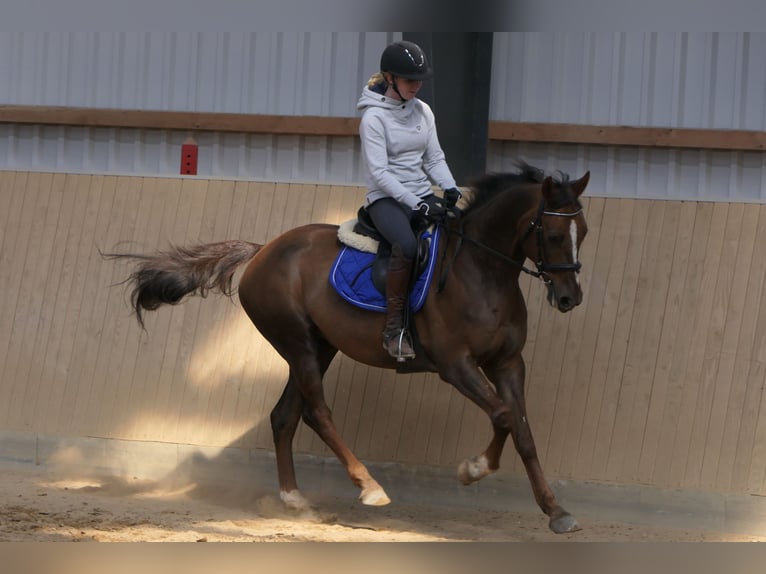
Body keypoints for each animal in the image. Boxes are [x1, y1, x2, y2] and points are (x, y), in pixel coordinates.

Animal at [107, 162, 590, 534]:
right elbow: (504, 416)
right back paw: (369, 487)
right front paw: (472, 470)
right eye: (550, 233)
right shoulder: (457, 366)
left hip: (319, 347)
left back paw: (295, 500)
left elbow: (523, 431)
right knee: (317, 413)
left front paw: (556, 511)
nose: (570, 298)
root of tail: (264, 250)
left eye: (582, 231)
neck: (482, 271)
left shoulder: (509, 363)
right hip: (299, 343)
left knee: (284, 416)